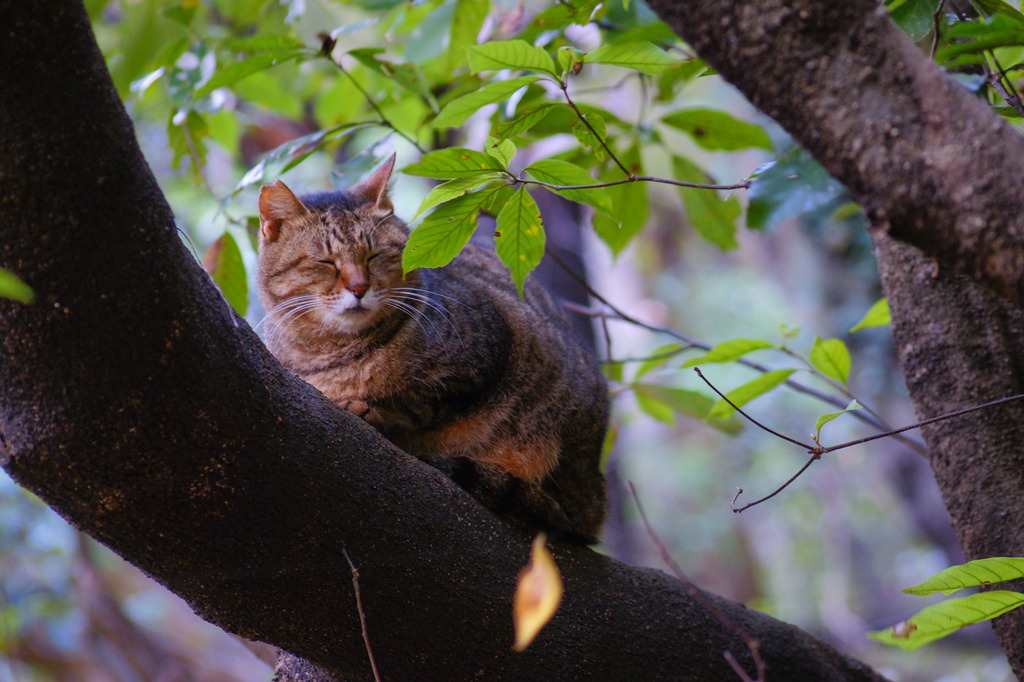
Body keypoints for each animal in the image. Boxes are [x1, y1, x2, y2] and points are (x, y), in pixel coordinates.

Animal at [256, 155, 606, 540]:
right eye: (326, 262)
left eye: (375, 256)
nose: (359, 288)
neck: (333, 352)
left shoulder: (484, 355)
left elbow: (418, 404)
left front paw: (372, 411)